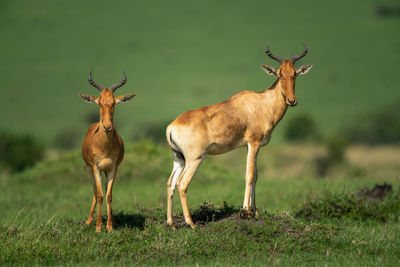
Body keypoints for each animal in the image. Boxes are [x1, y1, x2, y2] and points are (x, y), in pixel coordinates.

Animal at [78, 71, 134, 232]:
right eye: (100, 102)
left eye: (113, 103)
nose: (107, 127)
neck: (104, 147)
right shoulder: (95, 167)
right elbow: (100, 195)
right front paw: (98, 228)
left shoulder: (113, 168)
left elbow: (108, 195)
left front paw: (109, 227)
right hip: (89, 169)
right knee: (95, 191)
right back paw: (89, 221)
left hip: (105, 171)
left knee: (103, 190)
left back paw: (112, 220)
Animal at [166, 44, 312, 228]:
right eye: (279, 74)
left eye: (294, 73)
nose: (292, 101)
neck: (261, 103)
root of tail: (172, 126)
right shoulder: (254, 143)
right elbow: (249, 175)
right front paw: (245, 211)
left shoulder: (249, 147)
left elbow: (256, 175)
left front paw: (255, 211)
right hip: (195, 159)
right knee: (182, 184)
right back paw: (191, 223)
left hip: (179, 158)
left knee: (170, 183)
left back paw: (171, 223)